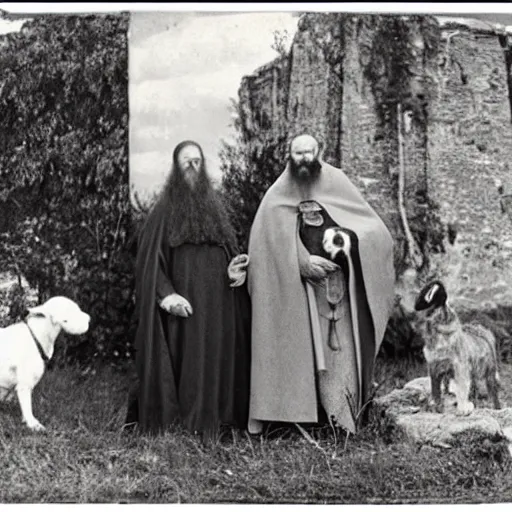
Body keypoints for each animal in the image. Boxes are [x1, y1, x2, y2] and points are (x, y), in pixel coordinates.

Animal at [0, 296, 90, 432]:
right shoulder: (25, 385)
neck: (37, 337)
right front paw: (33, 424)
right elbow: (27, 407)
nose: (89, 319)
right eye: (72, 310)